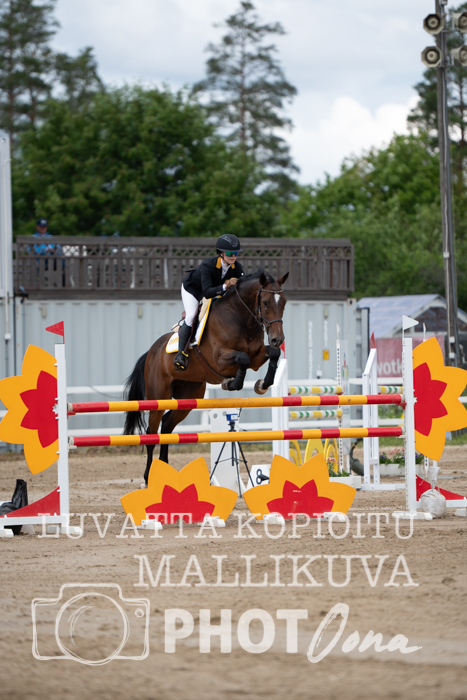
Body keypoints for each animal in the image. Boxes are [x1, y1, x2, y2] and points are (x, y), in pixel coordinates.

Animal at [123, 268, 288, 483]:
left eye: (284, 301)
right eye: (266, 302)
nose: (278, 339)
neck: (242, 318)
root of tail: (151, 351)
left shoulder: (257, 356)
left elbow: (272, 354)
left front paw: (262, 384)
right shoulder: (221, 358)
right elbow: (242, 359)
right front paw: (231, 383)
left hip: (188, 396)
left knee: (167, 426)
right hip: (158, 396)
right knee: (152, 433)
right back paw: (148, 477)